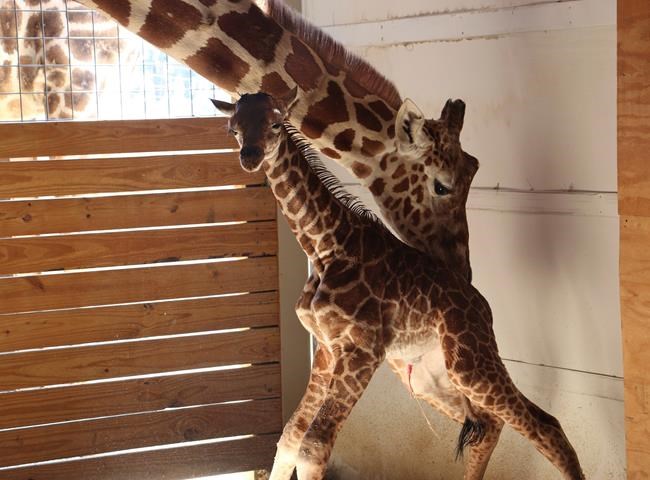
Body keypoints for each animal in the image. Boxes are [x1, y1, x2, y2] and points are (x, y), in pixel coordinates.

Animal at [211, 91, 585, 480]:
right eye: (233, 129)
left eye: (274, 123)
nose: (250, 156)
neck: (325, 246)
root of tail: (483, 307)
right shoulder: (327, 349)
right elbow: (290, 437)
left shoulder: (362, 348)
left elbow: (313, 447)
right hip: (430, 376)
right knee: (492, 425)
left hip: (470, 363)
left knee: (545, 425)